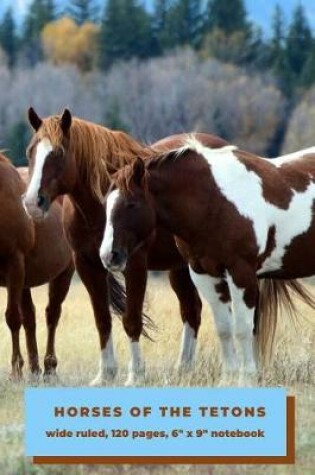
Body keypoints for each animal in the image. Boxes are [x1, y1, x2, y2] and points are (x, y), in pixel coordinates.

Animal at [0, 156, 74, 384]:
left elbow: (12, 318)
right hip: (23, 282)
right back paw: (34, 369)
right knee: (30, 318)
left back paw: (49, 367)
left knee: (52, 315)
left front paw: (16, 371)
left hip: (62, 274)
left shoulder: (14, 262)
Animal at [22, 107, 230, 386]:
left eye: (58, 153)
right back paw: (184, 368)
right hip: (180, 267)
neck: (99, 208)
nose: (32, 202)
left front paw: (135, 375)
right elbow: (102, 319)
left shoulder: (134, 263)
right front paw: (106, 374)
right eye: (30, 151)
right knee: (191, 309)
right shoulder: (88, 264)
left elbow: (132, 320)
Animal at [101, 139, 315, 380]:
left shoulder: (241, 273)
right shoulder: (205, 274)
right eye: (106, 204)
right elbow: (224, 329)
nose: (108, 255)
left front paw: (247, 377)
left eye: (131, 204)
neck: (215, 201)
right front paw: (229, 377)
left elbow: (243, 328)